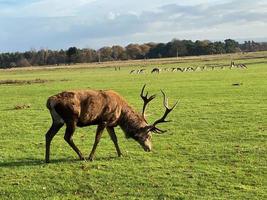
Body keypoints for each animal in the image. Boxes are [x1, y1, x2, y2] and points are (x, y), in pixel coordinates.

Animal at [44, 84, 178, 162]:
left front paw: (120, 154)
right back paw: (82, 156)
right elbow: (97, 139)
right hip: (71, 119)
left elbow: (114, 139)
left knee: (48, 135)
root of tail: (50, 101)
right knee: (67, 137)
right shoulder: (104, 120)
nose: (149, 148)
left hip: (57, 120)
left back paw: (47, 158)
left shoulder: (110, 124)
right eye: (149, 135)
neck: (121, 114)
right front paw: (91, 157)